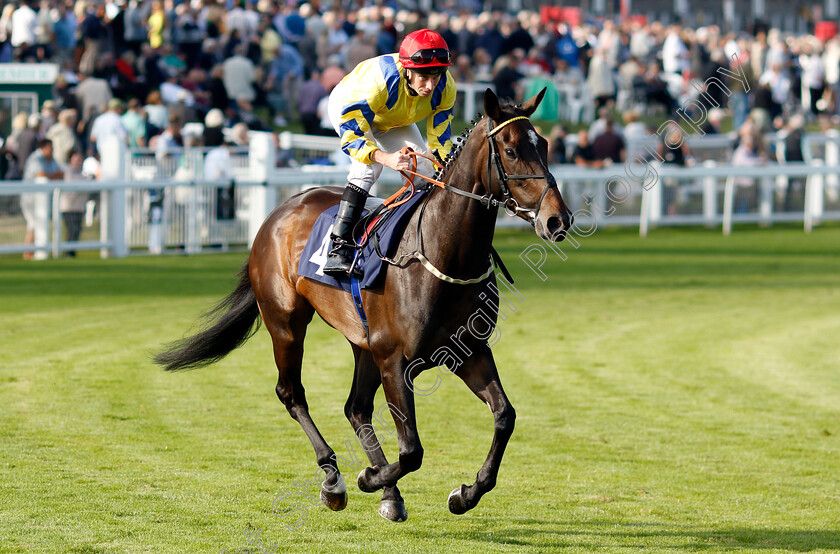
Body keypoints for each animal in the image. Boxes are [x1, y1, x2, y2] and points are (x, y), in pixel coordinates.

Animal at [154, 88, 576, 520]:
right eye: (510, 151)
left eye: (544, 145)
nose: (558, 220)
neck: (442, 255)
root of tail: (280, 210)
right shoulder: (395, 360)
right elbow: (412, 450)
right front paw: (369, 478)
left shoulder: (468, 351)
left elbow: (504, 416)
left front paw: (465, 493)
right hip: (286, 322)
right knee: (292, 393)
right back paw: (334, 479)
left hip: (363, 343)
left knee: (355, 407)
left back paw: (388, 492)